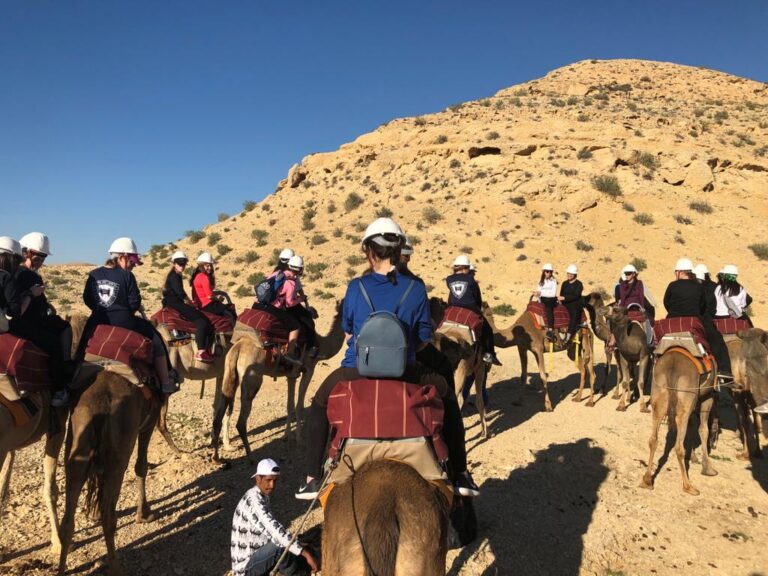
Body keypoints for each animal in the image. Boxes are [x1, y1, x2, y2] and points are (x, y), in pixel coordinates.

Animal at [57, 368, 162, 576]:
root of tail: (101, 404)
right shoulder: (149, 422)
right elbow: (141, 466)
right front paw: (144, 514)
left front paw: (94, 514)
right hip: (120, 448)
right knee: (109, 517)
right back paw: (116, 568)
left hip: (77, 441)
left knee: (68, 520)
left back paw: (61, 569)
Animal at [210, 302, 342, 460]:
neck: (322, 344)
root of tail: (237, 349)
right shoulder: (309, 368)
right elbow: (299, 405)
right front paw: (299, 440)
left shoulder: (292, 375)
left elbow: (290, 406)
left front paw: (286, 436)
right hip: (252, 379)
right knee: (241, 420)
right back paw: (251, 457)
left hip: (229, 372)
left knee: (221, 411)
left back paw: (218, 456)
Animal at [640, 352, 716, 496]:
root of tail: (672, 366)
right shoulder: (708, 396)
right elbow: (703, 429)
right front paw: (707, 468)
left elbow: (693, 427)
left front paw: (693, 457)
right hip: (685, 402)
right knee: (679, 446)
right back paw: (688, 486)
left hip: (658, 396)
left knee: (653, 439)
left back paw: (647, 481)